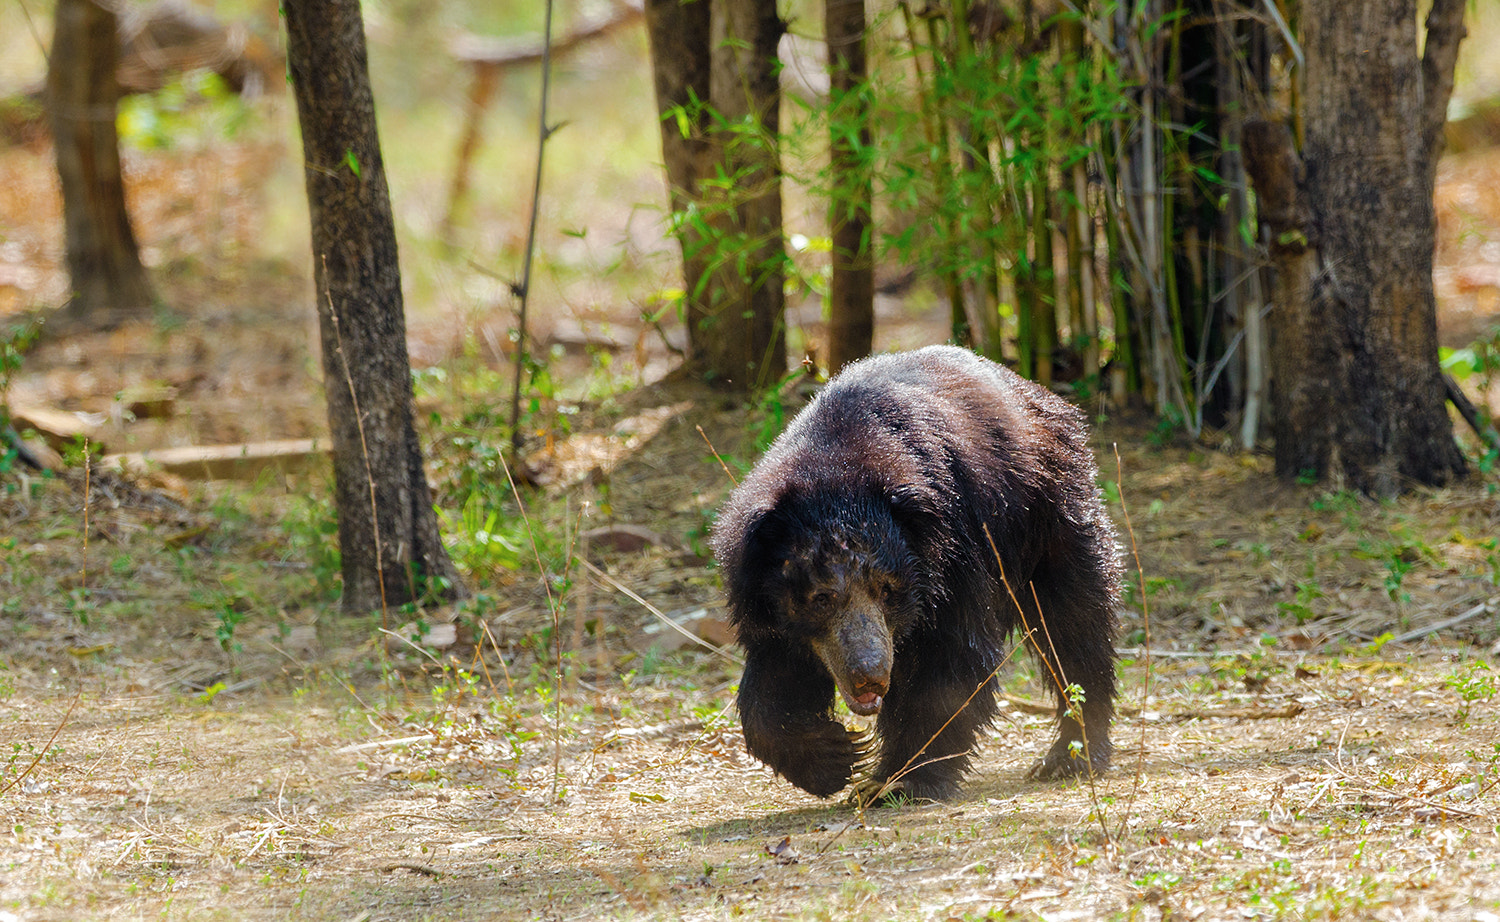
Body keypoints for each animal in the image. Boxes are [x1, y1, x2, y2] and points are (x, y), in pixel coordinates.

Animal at [717, 346, 1128, 803]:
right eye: (821, 598)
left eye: (887, 590)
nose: (870, 674)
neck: (834, 468)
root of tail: (1040, 395)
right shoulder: (766, 601)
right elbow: (776, 677)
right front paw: (833, 756)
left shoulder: (955, 547)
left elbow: (951, 657)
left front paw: (894, 779)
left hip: (1049, 511)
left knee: (1074, 621)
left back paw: (1071, 754)